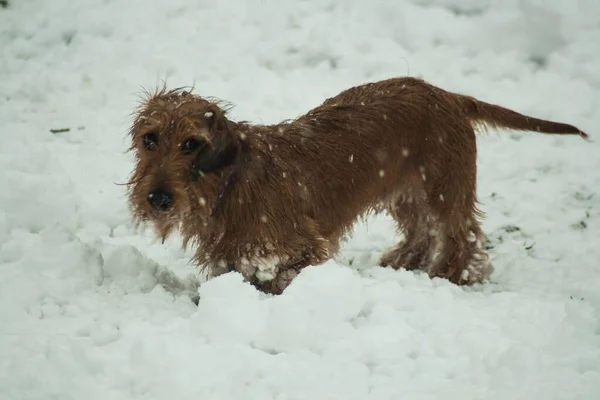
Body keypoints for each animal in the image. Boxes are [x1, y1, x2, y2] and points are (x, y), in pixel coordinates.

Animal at [124, 77, 588, 294]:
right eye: (150, 139)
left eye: (192, 143)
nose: (157, 198)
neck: (230, 184)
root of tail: (450, 96)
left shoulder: (301, 251)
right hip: (406, 193)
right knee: (422, 231)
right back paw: (403, 262)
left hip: (444, 190)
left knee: (462, 237)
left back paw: (447, 277)